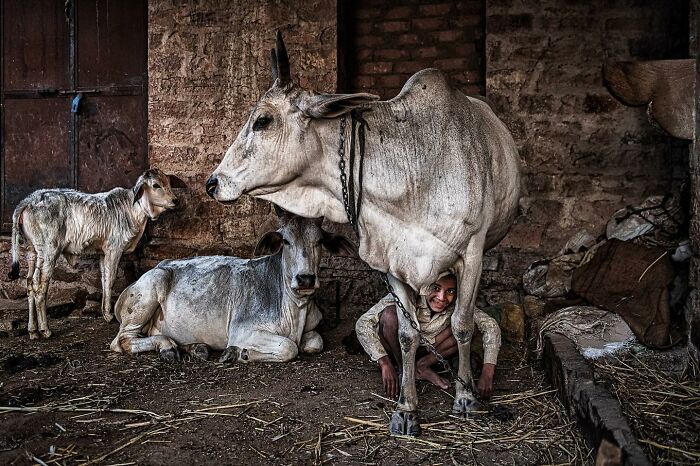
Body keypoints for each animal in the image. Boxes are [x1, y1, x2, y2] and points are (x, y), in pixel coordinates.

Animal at [8, 168, 179, 339]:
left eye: (168, 182)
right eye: (156, 185)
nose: (175, 201)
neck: (132, 209)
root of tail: (30, 199)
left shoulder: (103, 252)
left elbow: (104, 279)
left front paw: (105, 312)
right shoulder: (114, 249)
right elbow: (111, 280)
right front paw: (109, 315)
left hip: (32, 251)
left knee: (30, 283)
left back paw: (32, 330)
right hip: (49, 251)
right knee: (40, 286)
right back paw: (45, 329)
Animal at [110, 210, 354, 363]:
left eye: (320, 241)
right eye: (285, 241)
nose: (305, 279)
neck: (296, 310)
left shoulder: (312, 329)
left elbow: (314, 343)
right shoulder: (242, 330)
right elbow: (289, 347)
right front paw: (240, 353)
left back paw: (195, 348)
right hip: (149, 292)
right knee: (122, 341)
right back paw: (168, 347)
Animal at [206, 32, 521, 435]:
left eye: (262, 120)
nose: (213, 183)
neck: (413, 169)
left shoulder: (473, 254)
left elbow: (462, 325)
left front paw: (465, 398)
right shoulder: (394, 258)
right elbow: (406, 333)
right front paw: (406, 408)